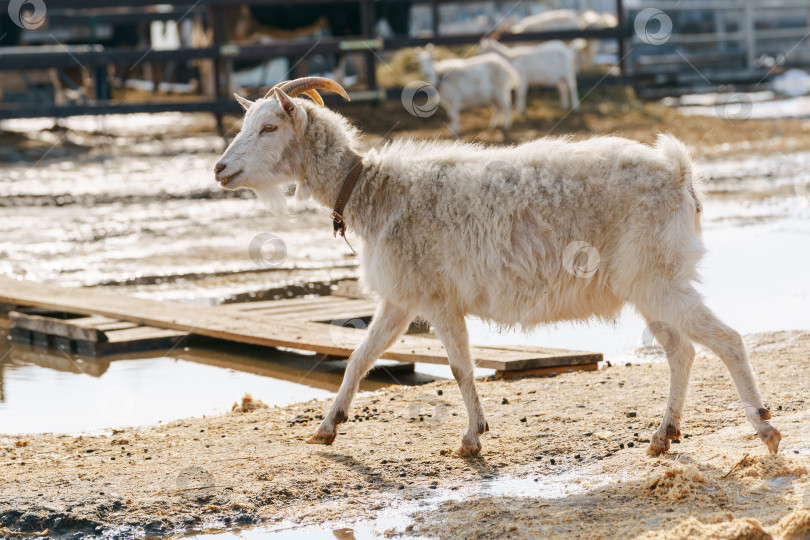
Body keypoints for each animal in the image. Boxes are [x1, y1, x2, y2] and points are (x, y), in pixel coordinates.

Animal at [211, 78, 780, 458]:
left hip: (657, 277)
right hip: (648, 284)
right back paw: (664, 435)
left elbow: (460, 367)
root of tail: (680, 173)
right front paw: (328, 427)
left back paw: (764, 428)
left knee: (726, 339)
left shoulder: (438, 299)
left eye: (268, 127)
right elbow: (358, 358)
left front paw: (471, 439)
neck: (375, 190)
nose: (219, 169)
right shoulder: (400, 298)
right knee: (681, 350)